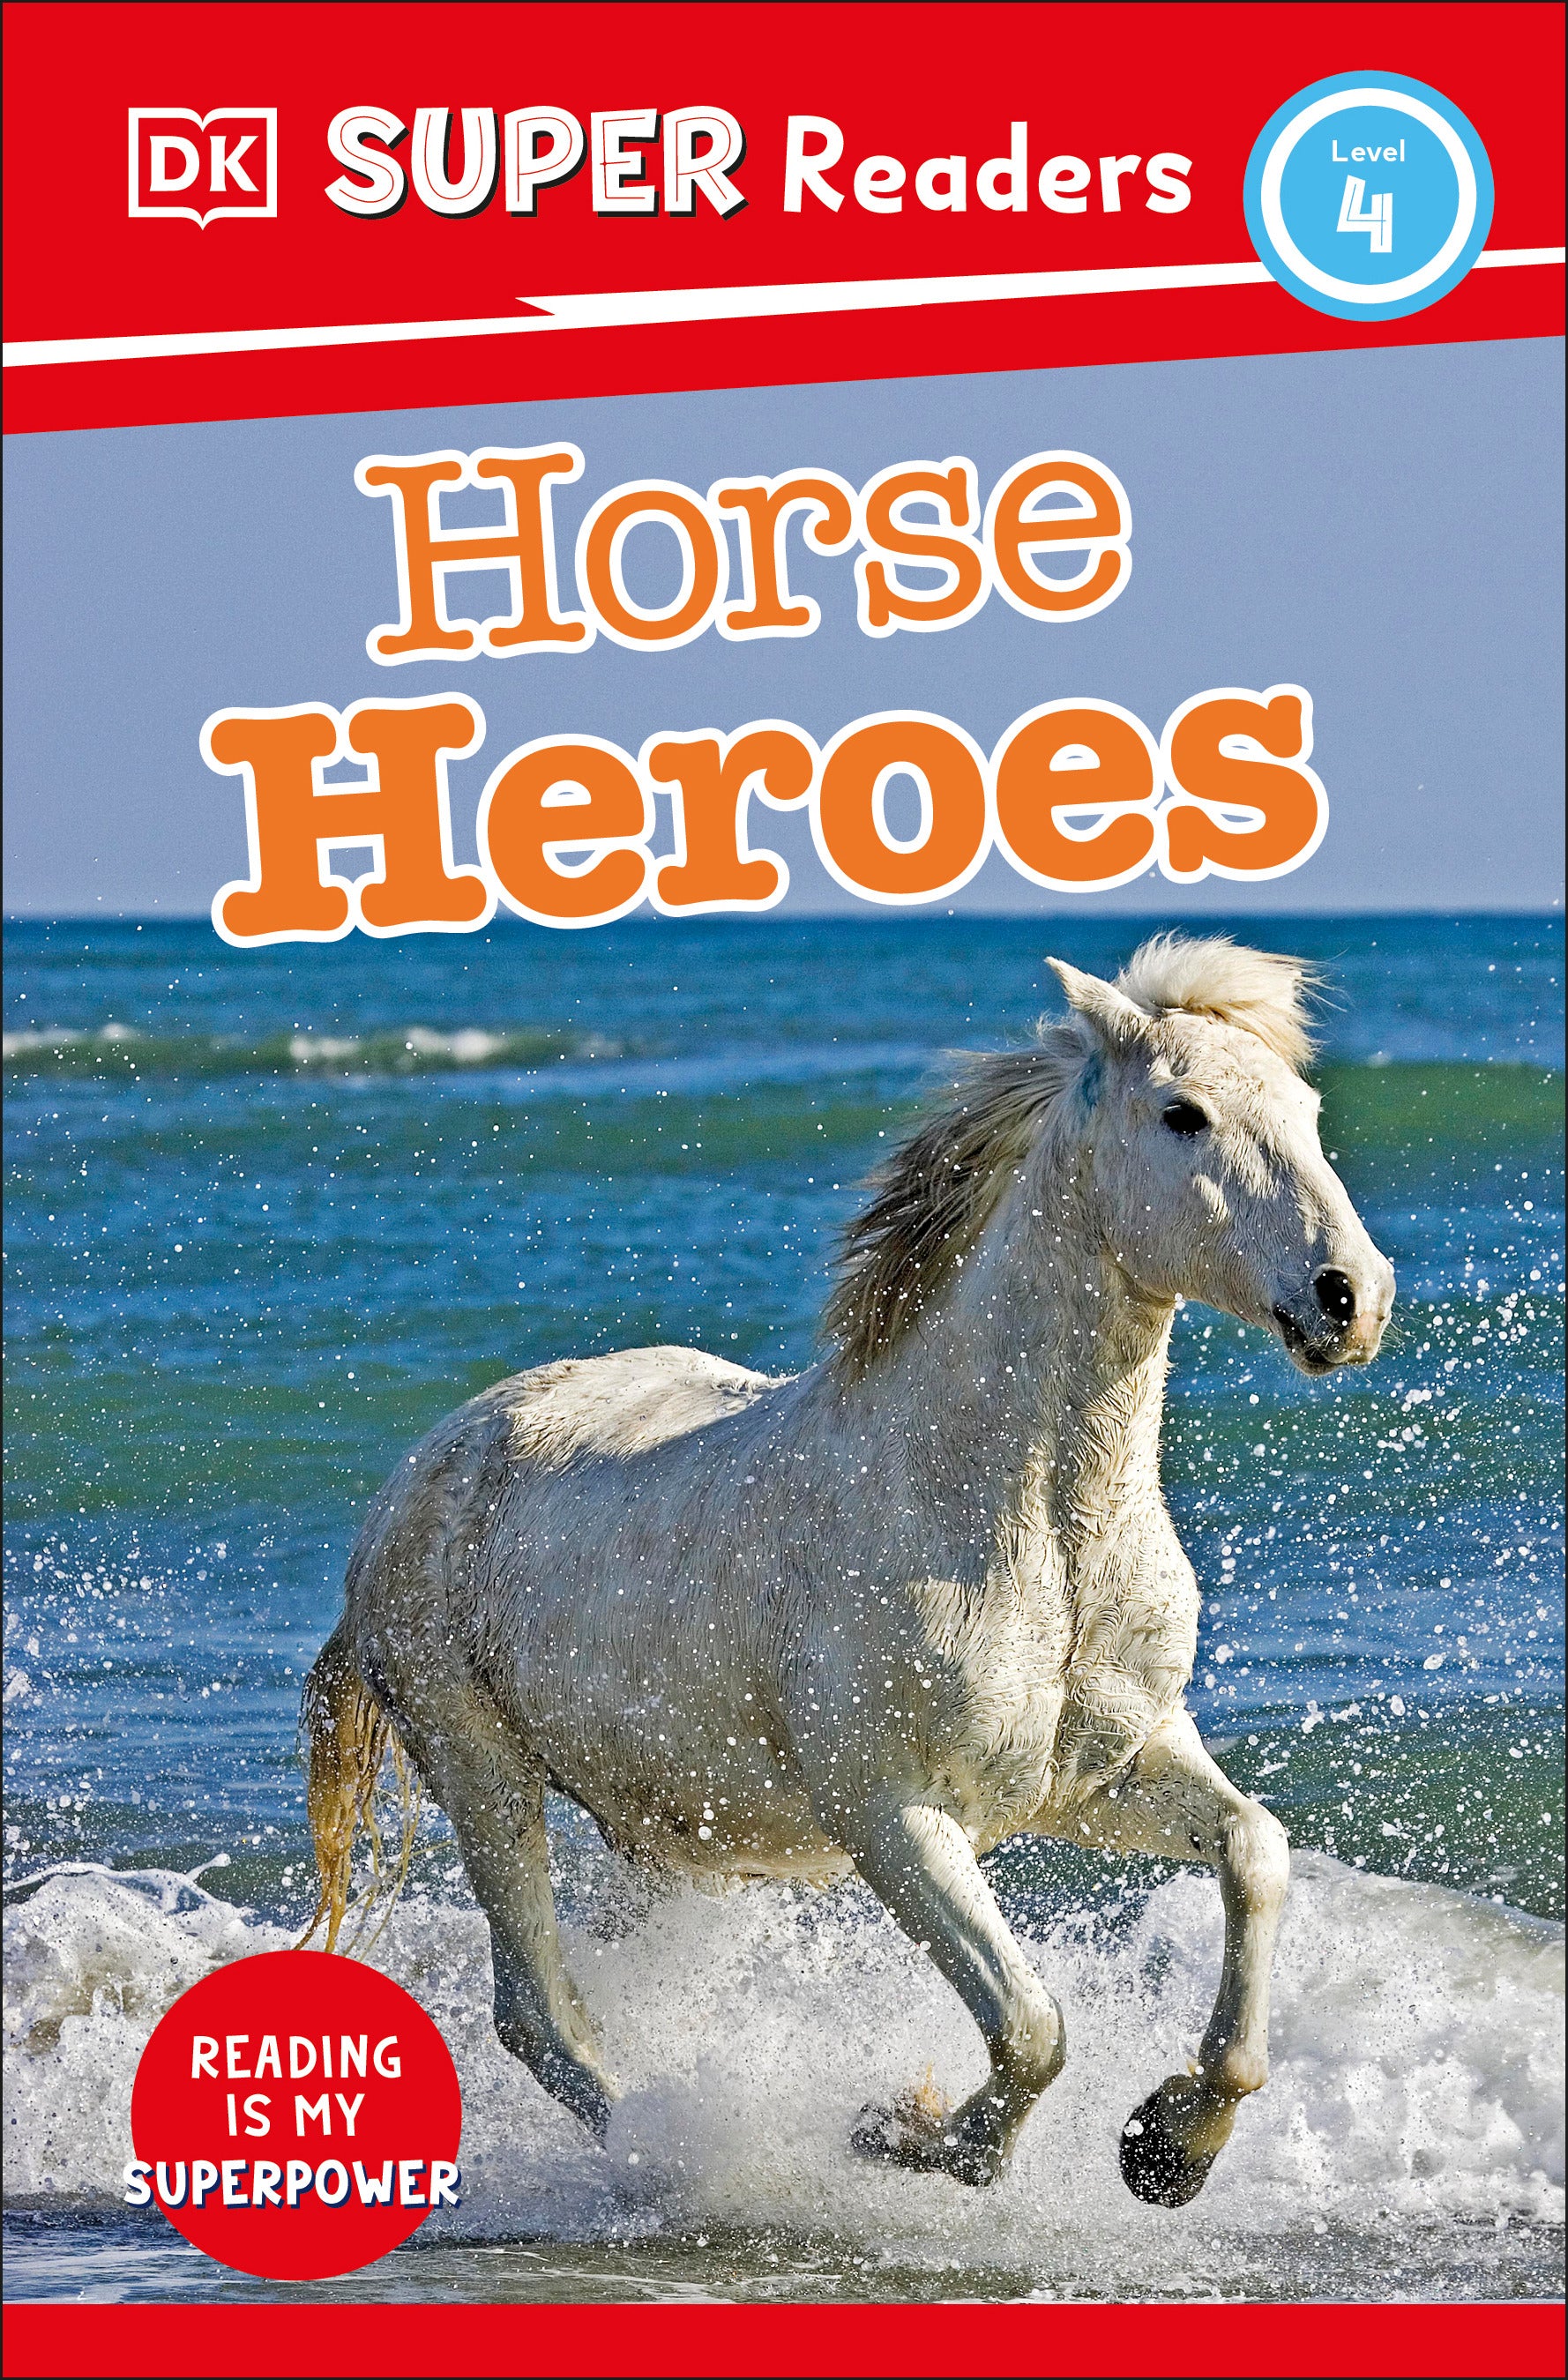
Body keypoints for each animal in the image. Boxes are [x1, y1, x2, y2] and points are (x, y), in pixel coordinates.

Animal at [303, 934, 1393, 2205]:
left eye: (1305, 1110)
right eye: (1182, 1113)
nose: (1347, 1296)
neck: (1030, 1534)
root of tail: (416, 1474)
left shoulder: (1100, 1776)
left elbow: (1253, 1852)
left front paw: (1171, 2142)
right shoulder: (893, 1818)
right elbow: (1030, 2024)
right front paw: (910, 2132)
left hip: (663, 1828)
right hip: (480, 1770)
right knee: (540, 2014)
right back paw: (674, 2157)